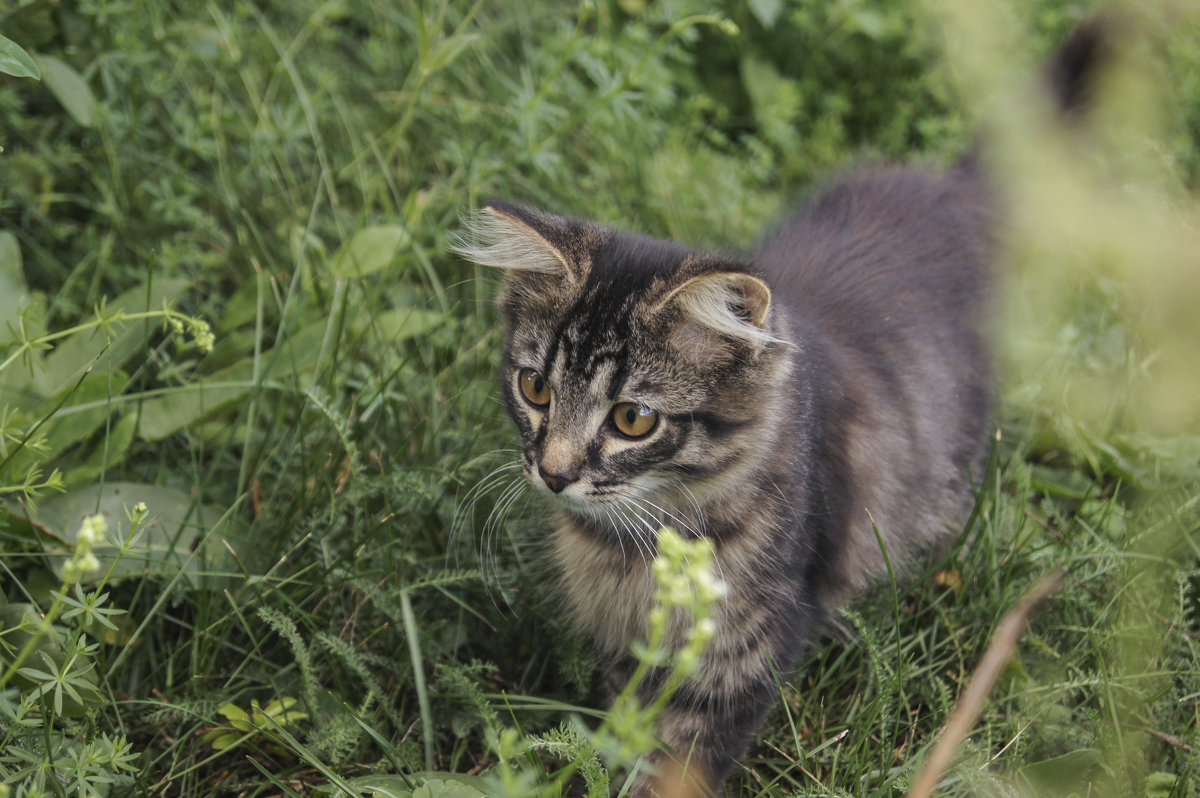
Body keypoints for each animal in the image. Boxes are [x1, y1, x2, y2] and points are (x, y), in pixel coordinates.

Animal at [451, 18, 1104, 796]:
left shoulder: (745, 648)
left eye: (632, 420)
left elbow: (677, 767)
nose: (553, 474)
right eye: (536, 389)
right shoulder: (628, 649)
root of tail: (949, 187)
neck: (637, 543)